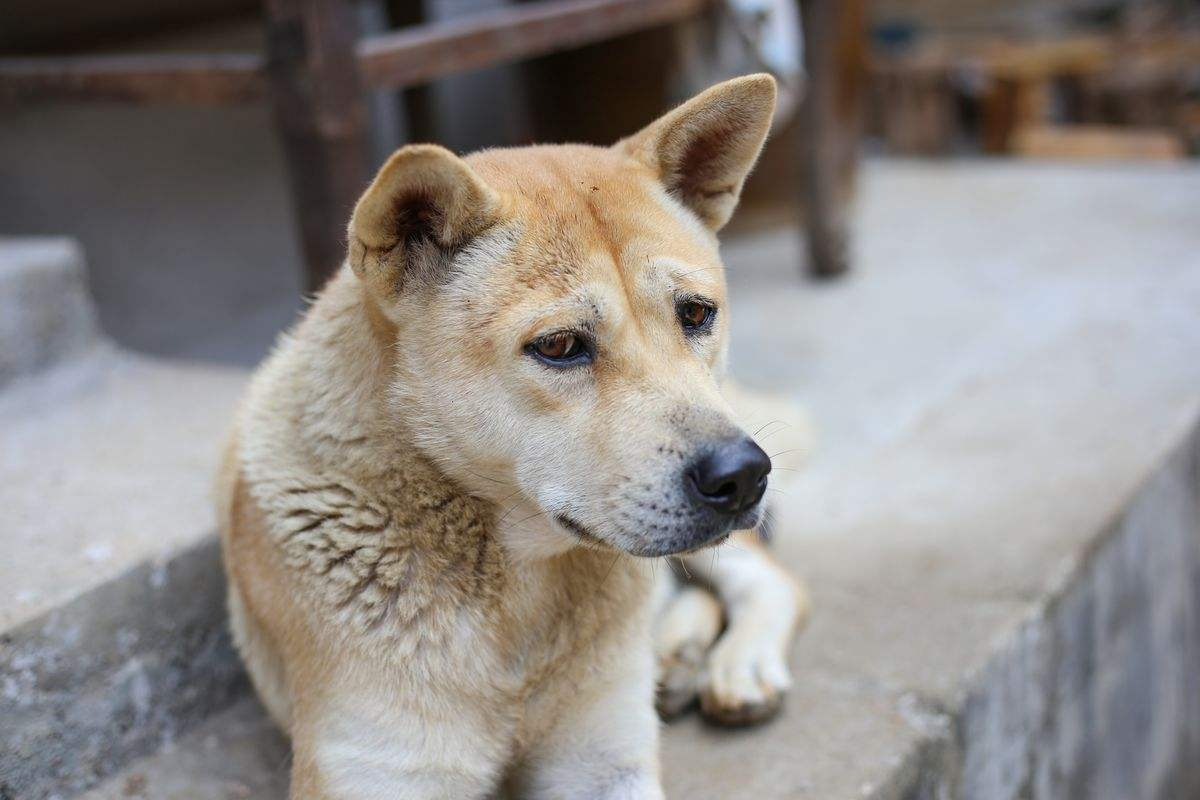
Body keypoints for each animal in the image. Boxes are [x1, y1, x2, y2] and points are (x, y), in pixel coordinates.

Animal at [220, 74, 811, 800]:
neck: (514, 584)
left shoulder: (604, 766)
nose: (744, 475)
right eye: (558, 346)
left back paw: (733, 663)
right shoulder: (378, 771)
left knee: (770, 581)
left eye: (696, 314)